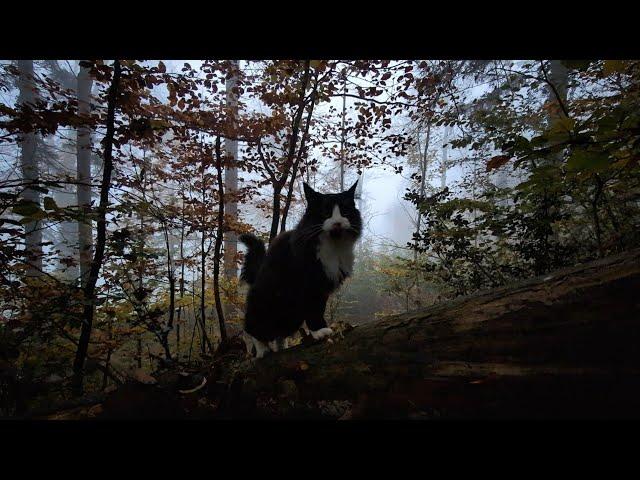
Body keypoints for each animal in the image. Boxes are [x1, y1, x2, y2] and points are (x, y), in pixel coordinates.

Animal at [239, 179, 362, 356]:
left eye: (345, 212)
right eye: (325, 213)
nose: (338, 222)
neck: (332, 247)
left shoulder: (322, 288)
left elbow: (319, 308)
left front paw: (320, 329)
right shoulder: (306, 284)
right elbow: (312, 308)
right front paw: (319, 331)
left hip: (289, 317)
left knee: (278, 332)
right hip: (266, 303)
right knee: (253, 328)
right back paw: (263, 351)